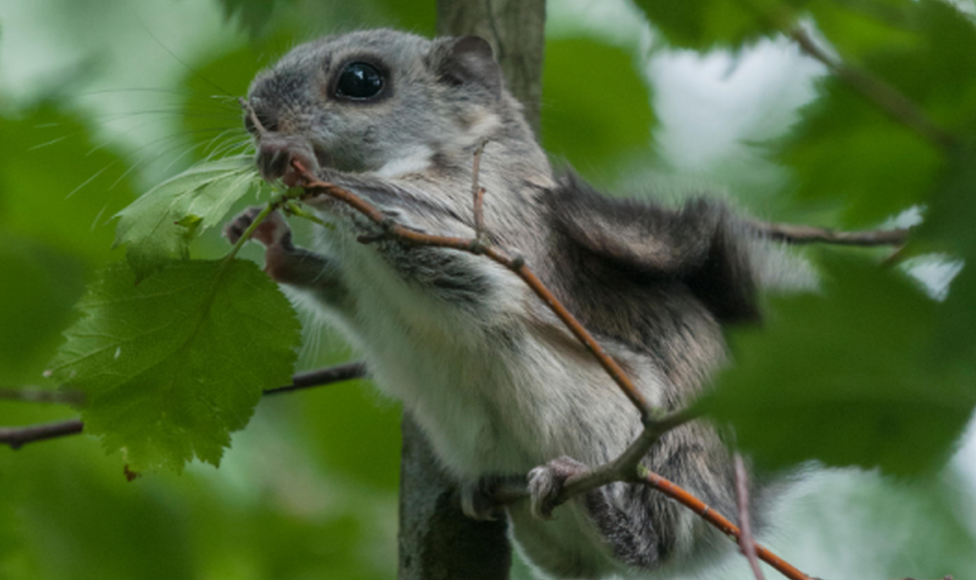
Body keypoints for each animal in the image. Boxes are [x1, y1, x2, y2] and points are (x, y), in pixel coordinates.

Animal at [227, 28, 776, 580]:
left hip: (655, 456)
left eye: (360, 80)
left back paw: (597, 503)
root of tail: (734, 508)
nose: (255, 115)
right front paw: (271, 242)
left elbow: (415, 229)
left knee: (653, 539)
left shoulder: (495, 232)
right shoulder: (362, 293)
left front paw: (300, 162)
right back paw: (491, 490)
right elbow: (339, 289)